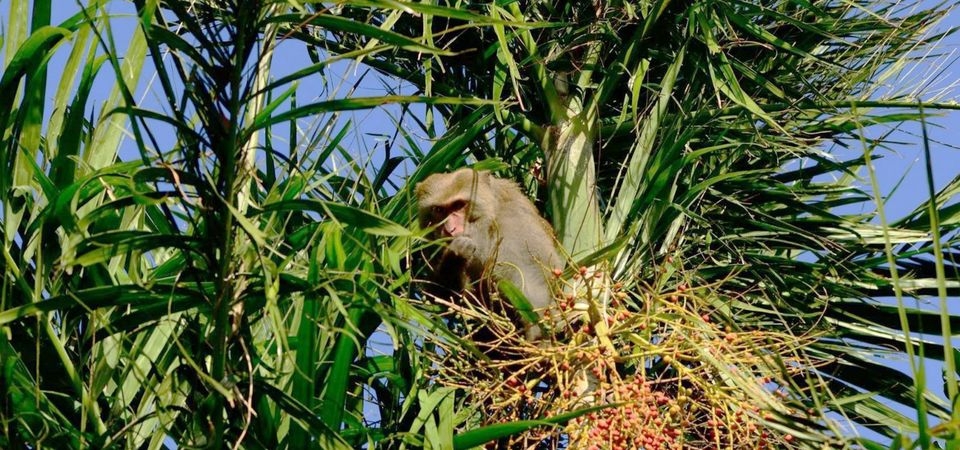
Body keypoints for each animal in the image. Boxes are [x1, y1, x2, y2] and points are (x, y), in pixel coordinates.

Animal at [416, 169, 568, 342]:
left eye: (459, 205)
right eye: (439, 210)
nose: (450, 229)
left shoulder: (515, 223)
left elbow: (531, 275)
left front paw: (537, 328)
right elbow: (441, 296)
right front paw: (455, 258)